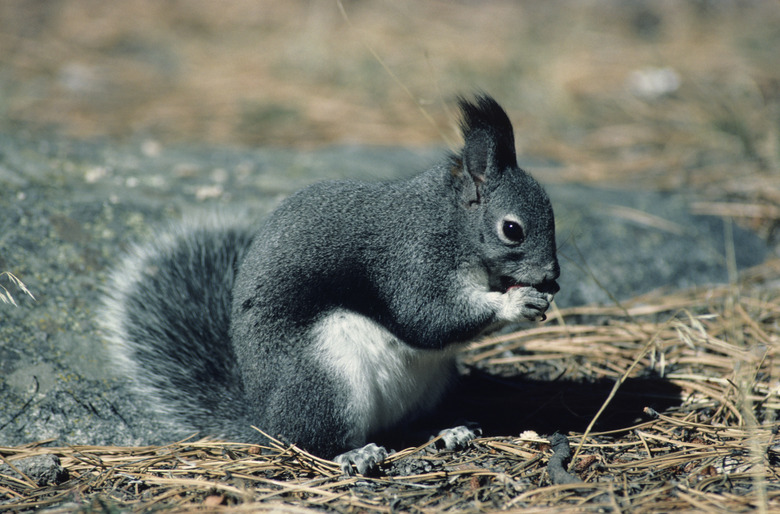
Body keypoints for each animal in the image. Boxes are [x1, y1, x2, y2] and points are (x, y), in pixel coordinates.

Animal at [99, 93, 560, 472]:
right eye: (512, 229)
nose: (553, 278)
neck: (452, 223)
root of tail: (264, 423)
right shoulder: (408, 261)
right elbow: (426, 319)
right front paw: (515, 303)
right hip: (325, 379)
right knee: (313, 441)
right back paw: (354, 454)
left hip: (434, 384)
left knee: (406, 426)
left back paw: (450, 429)